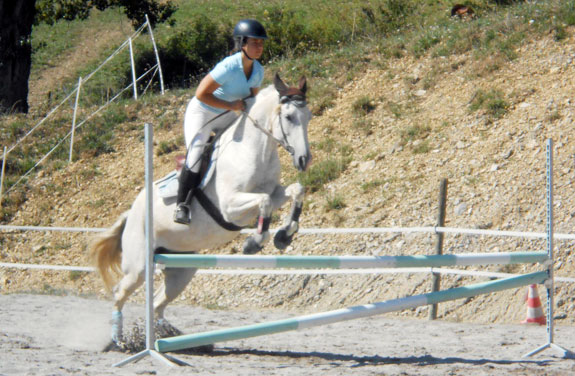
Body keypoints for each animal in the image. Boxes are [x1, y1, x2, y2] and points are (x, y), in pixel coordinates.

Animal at [90, 72, 312, 344]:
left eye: (308, 116)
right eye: (289, 117)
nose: (304, 160)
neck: (254, 150)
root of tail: (131, 213)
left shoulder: (275, 192)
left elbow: (296, 190)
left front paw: (284, 235)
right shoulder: (230, 207)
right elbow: (264, 202)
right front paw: (254, 242)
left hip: (182, 266)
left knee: (158, 300)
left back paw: (164, 334)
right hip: (139, 266)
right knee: (120, 292)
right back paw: (119, 339)